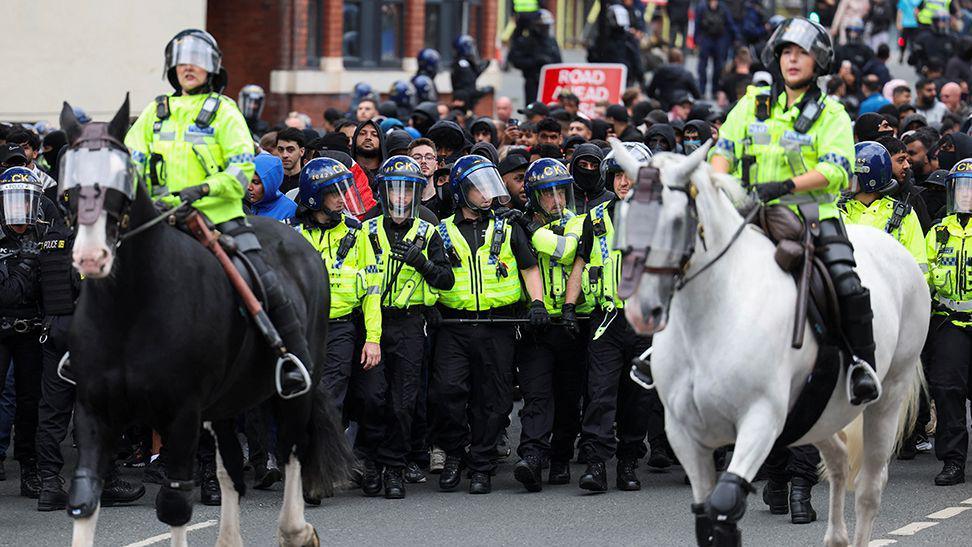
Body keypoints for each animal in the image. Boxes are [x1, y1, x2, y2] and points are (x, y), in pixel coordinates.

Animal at [59, 99, 354, 547]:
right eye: (68, 184)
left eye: (122, 178)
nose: (91, 257)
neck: (130, 309)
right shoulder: (95, 409)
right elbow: (85, 498)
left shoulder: (183, 413)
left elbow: (175, 504)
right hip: (225, 403)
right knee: (230, 469)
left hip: (294, 391)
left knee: (292, 450)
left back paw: (296, 530)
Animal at [612, 142, 932, 547]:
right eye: (625, 214)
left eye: (676, 221)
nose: (642, 309)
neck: (712, 317)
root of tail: (900, 253)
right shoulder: (686, 435)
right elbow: (706, 516)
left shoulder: (760, 421)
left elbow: (725, 503)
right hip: (818, 412)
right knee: (839, 459)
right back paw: (835, 536)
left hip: (888, 395)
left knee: (869, 489)